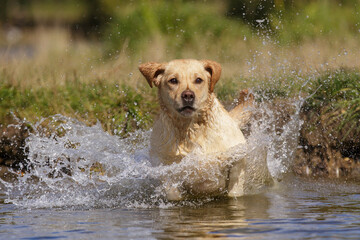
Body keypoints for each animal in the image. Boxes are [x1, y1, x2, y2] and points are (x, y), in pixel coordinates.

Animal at [139, 59, 266, 200]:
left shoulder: (237, 156)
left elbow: (234, 189)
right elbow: (173, 191)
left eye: (198, 80)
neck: (190, 129)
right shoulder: (164, 166)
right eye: (173, 80)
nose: (188, 95)